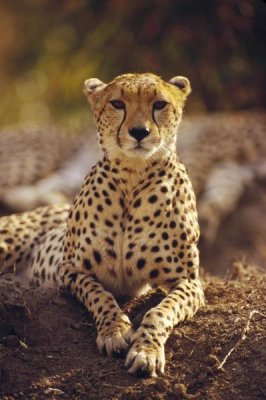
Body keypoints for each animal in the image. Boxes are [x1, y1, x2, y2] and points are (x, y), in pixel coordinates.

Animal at [0, 72, 204, 378]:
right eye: (117, 103)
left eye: (159, 104)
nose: (140, 132)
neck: (133, 175)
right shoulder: (72, 270)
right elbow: (100, 295)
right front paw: (115, 332)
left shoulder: (189, 281)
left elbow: (161, 311)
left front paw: (146, 351)